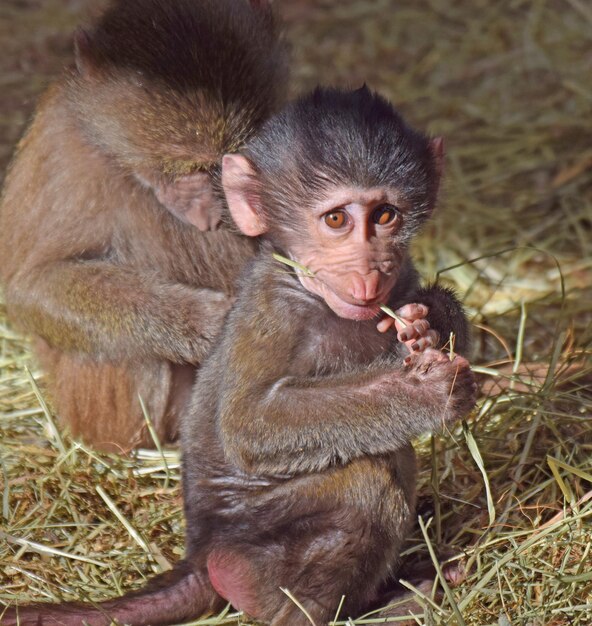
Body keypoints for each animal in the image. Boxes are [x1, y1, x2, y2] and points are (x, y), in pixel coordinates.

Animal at [0, 0, 286, 448]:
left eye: (225, 164)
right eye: (187, 169)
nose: (210, 215)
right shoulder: (62, 153)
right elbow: (31, 288)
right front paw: (205, 324)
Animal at [1, 88, 476, 624]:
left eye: (385, 215)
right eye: (336, 219)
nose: (371, 271)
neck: (313, 295)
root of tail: (201, 551)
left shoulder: (403, 272)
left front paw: (429, 320)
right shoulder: (273, 312)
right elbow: (251, 424)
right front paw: (424, 393)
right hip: (252, 532)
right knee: (365, 480)